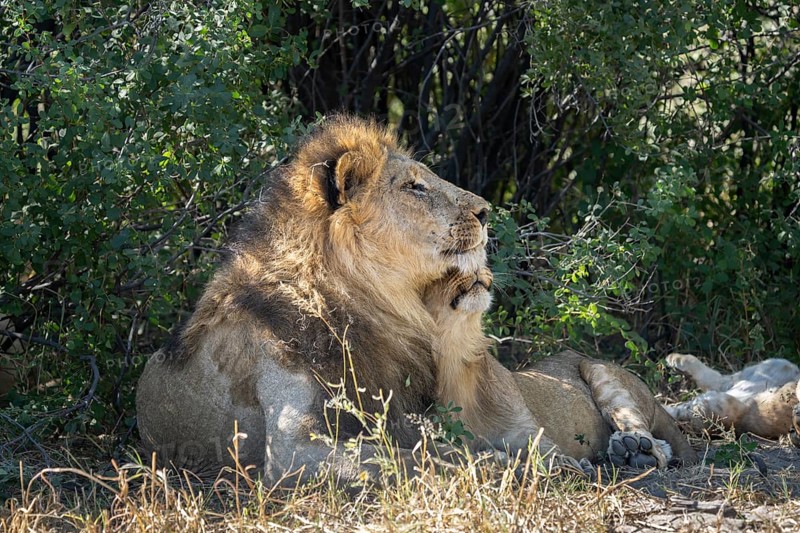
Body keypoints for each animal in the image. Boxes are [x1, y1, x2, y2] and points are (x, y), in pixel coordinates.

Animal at [423, 269, 699, 470]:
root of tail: (653, 397)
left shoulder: (529, 432)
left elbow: (544, 455)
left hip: (598, 369)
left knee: (636, 424)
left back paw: (638, 450)